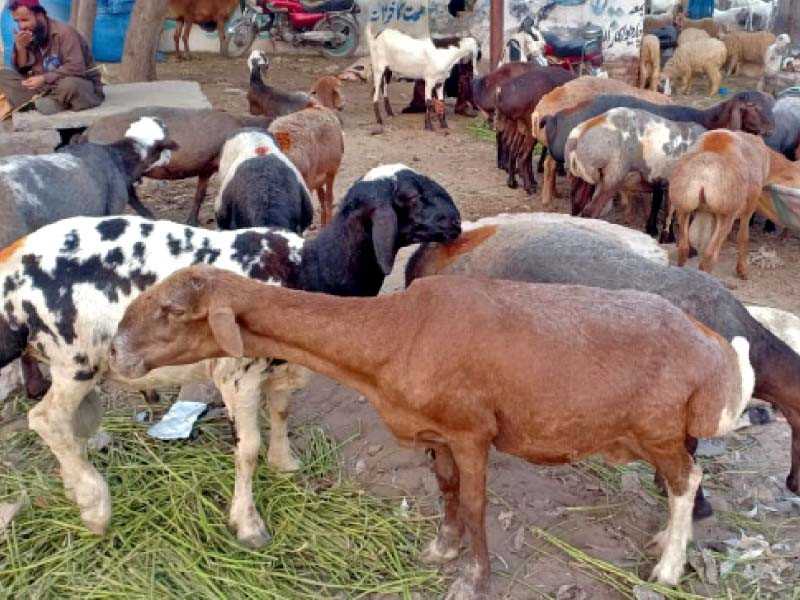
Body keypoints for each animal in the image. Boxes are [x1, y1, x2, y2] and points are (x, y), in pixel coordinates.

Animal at [111, 268, 756, 600]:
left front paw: (474, 578)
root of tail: (712, 350)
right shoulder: (437, 434)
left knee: (686, 480)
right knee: (681, 483)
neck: (398, 330)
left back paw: (667, 569)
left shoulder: (472, 431)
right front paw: (441, 549)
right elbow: (446, 493)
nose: (115, 350)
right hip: (669, 430)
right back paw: (664, 542)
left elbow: (473, 503)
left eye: (172, 310)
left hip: (658, 427)